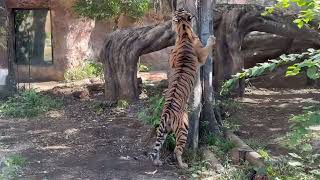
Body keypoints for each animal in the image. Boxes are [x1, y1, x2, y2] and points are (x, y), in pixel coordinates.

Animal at [149, 8, 215, 169]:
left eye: (179, 11)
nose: (176, 10)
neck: (183, 31)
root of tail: (167, 113)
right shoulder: (201, 55)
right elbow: (207, 47)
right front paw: (212, 38)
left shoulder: (173, 60)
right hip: (184, 127)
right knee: (177, 150)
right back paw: (183, 165)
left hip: (163, 130)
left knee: (157, 146)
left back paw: (157, 161)